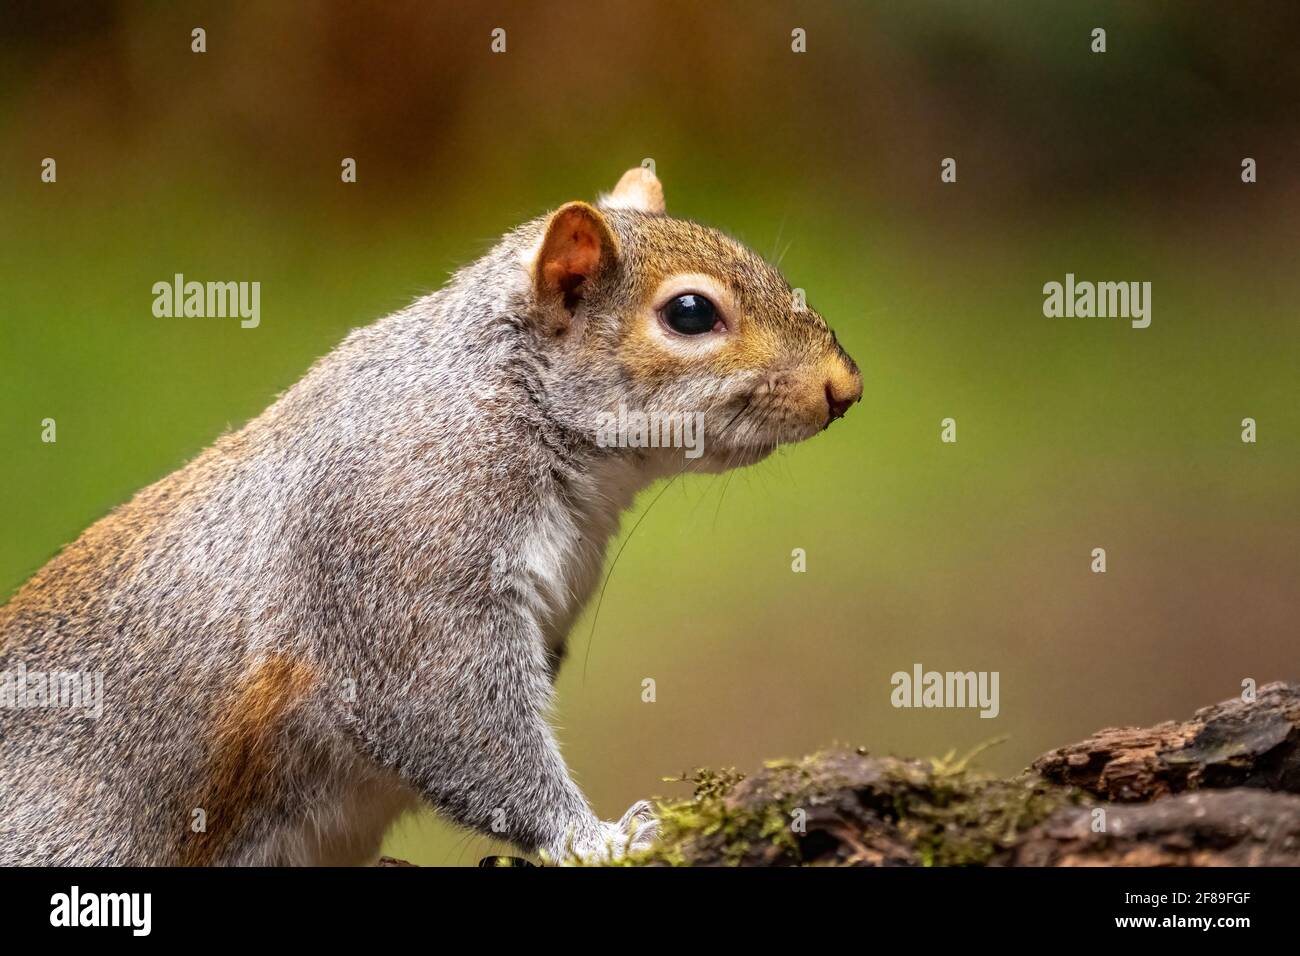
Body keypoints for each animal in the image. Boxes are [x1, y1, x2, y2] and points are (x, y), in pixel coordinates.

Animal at [0, 166, 861, 865]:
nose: (845, 387)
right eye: (689, 313)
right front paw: (600, 838)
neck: (514, 403)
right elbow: (454, 720)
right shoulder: (410, 546)